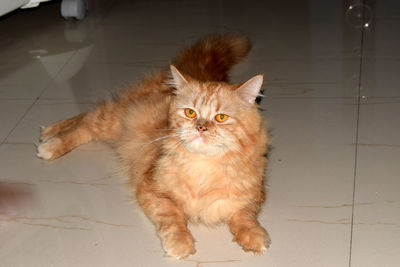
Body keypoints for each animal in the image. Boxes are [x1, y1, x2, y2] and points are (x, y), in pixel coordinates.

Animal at [37, 35, 270, 260]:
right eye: (190, 113)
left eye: (221, 117)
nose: (201, 128)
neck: (202, 168)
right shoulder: (151, 189)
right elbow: (173, 217)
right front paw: (180, 243)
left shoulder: (252, 196)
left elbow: (244, 217)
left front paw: (254, 237)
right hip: (113, 121)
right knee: (85, 123)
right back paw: (50, 141)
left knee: (85, 117)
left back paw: (48, 132)